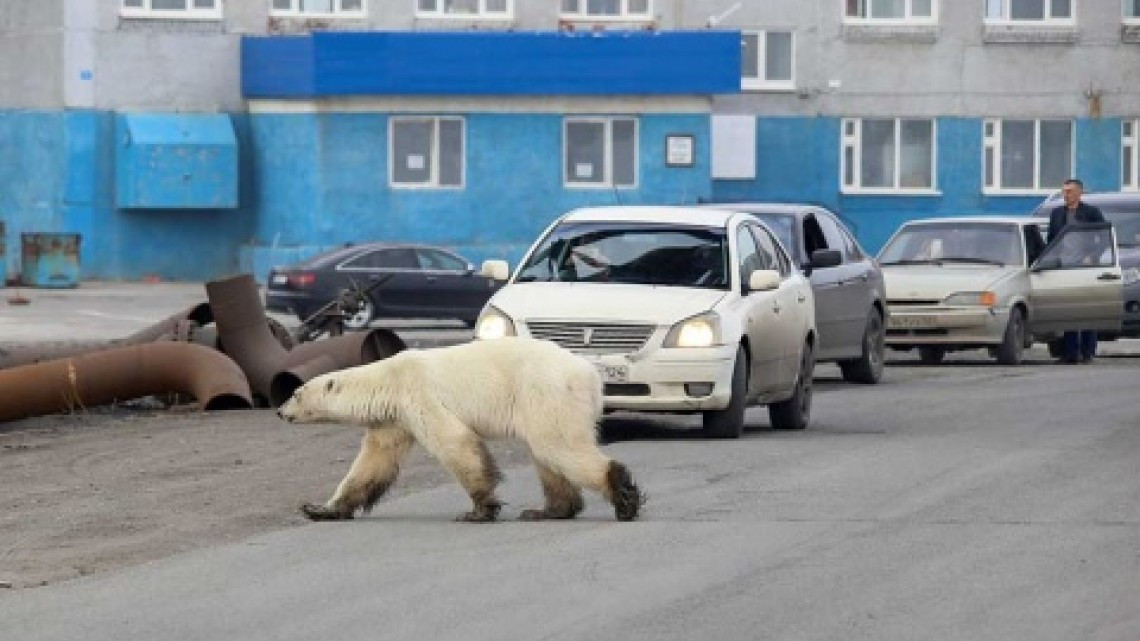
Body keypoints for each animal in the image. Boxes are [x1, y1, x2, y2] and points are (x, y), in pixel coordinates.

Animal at [277, 336, 643, 523]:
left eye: (295, 393)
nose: (279, 411)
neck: (388, 379)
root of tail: (590, 373)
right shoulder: (393, 419)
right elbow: (373, 462)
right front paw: (320, 509)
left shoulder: (419, 394)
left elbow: (455, 443)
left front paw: (480, 510)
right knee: (547, 456)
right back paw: (547, 511)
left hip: (545, 391)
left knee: (557, 446)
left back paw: (623, 497)